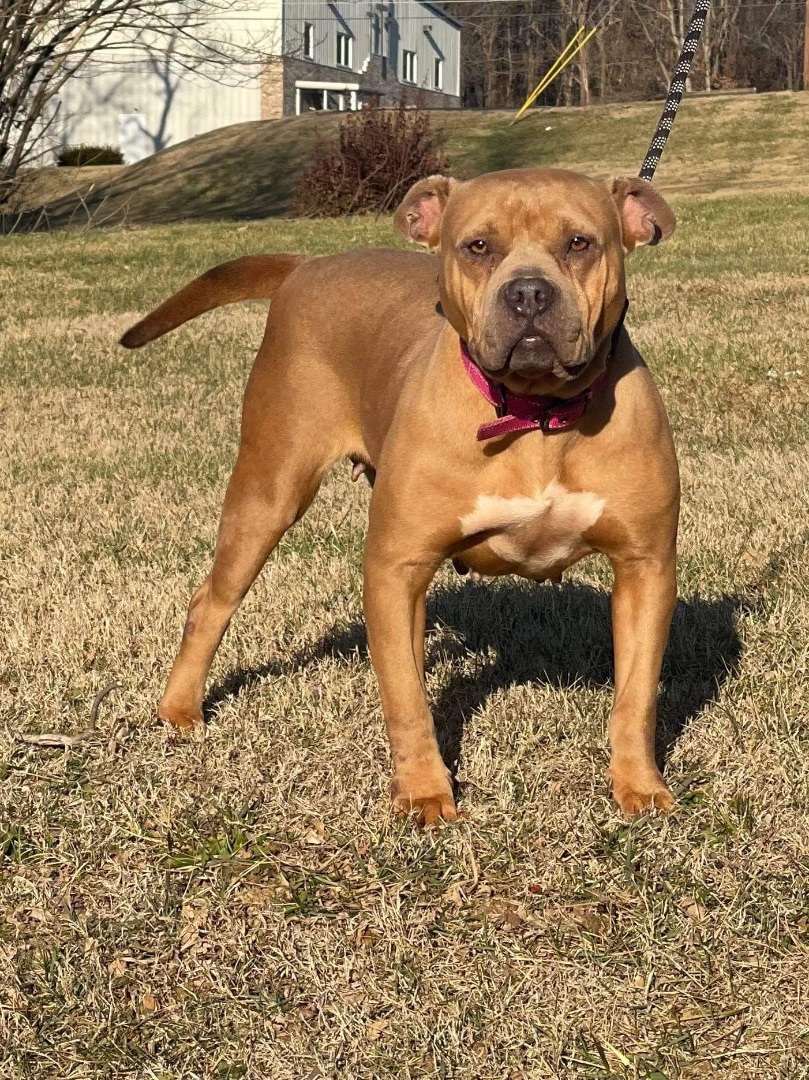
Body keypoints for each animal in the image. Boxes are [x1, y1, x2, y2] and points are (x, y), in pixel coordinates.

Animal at [119, 168, 673, 820]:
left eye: (580, 243)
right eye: (477, 246)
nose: (529, 295)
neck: (534, 415)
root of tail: (308, 266)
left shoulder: (646, 568)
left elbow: (636, 695)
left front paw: (640, 786)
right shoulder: (393, 566)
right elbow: (407, 701)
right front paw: (425, 793)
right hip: (268, 492)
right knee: (212, 601)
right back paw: (180, 709)